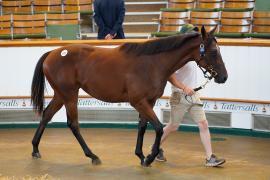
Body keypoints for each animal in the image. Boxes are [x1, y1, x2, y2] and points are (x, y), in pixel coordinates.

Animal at [30, 26, 228, 167]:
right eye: (213, 52)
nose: (224, 77)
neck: (152, 62)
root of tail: (52, 53)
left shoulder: (148, 102)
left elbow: (142, 126)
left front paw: (141, 155)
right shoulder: (138, 102)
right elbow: (158, 127)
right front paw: (150, 157)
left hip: (61, 95)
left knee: (46, 115)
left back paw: (35, 149)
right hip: (69, 95)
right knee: (73, 124)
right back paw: (92, 155)